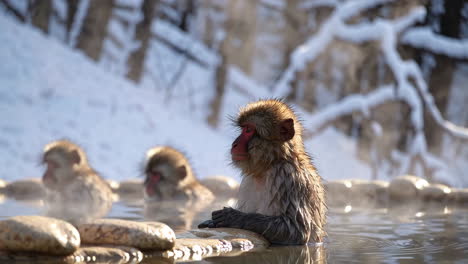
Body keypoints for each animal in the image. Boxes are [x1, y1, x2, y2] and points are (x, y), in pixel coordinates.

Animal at [199, 99, 328, 245]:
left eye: (249, 130)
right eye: (243, 128)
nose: (234, 144)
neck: (271, 164)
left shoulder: (290, 179)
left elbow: (297, 230)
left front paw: (234, 217)